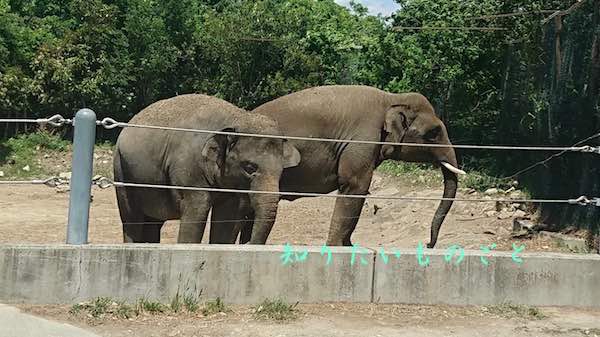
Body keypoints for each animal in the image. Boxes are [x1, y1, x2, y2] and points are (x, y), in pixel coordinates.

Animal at [113, 93, 300, 243]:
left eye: (281, 171)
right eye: (249, 167)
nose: (249, 243)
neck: (235, 118)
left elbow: (227, 215)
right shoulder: (188, 170)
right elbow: (198, 210)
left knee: (152, 222)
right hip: (121, 170)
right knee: (131, 218)